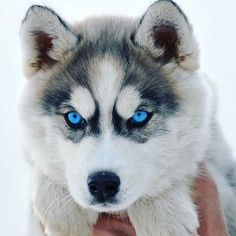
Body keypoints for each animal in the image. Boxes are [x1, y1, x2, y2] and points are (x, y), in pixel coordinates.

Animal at [19, 0, 236, 235]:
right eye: (74, 118)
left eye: (139, 116)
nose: (103, 184)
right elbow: (40, 167)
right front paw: (63, 211)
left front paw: (163, 215)